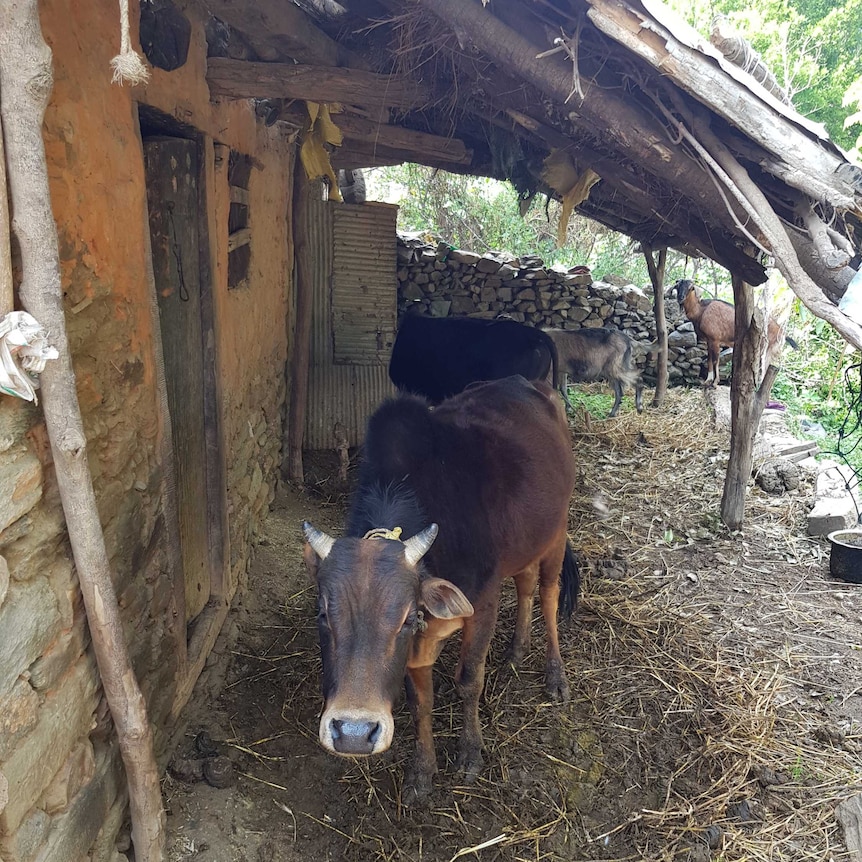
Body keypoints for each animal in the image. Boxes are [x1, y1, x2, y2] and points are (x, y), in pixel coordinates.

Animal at [304, 376, 580, 804]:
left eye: (406, 619)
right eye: (322, 614)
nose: (353, 734)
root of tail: (529, 383)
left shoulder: (482, 606)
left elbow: (469, 681)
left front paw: (470, 752)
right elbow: (421, 702)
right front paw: (422, 772)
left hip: (556, 534)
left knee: (548, 596)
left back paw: (555, 676)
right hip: (524, 547)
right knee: (525, 584)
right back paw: (516, 651)